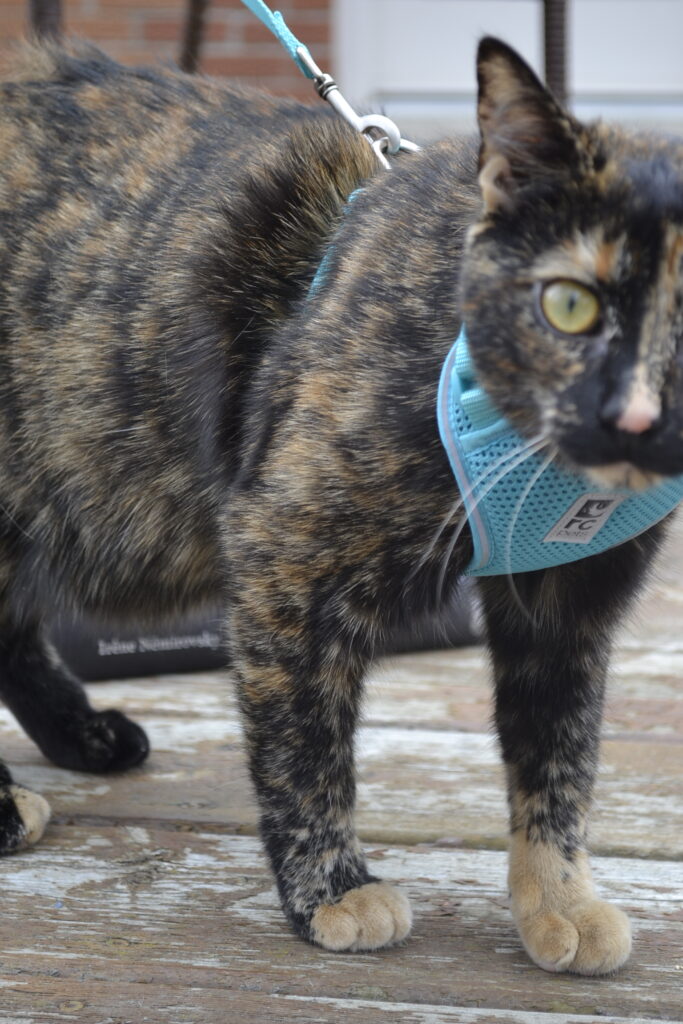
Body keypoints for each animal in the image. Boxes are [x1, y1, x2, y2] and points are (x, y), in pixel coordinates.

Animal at [0, 34, 679, 974]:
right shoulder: (285, 553)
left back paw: (84, 736)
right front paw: (331, 892)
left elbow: (559, 754)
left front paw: (559, 898)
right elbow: (305, 741)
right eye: (570, 303)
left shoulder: (569, 603)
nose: (633, 414)